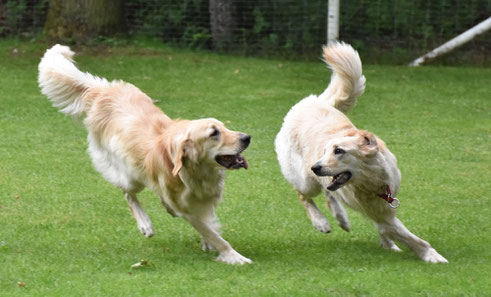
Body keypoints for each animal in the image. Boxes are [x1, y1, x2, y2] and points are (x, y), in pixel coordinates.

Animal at [38, 44, 252, 264]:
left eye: (224, 128)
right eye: (213, 133)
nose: (247, 138)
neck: (197, 172)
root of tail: (103, 91)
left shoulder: (203, 198)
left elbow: (209, 223)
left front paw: (209, 243)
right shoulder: (186, 209)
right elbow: (212, 233)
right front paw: (234, 256)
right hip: (130, 174)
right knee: (128, 194)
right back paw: (145, 224)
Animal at [276, 41, 450, 262]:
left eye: (339, 151)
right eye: (326, 151)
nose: (315, 166)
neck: (373, 181)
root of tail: (314, 101)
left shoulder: (383, 207)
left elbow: (386, 229)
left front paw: (388, 244)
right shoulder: (381, 213)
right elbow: (412, 238)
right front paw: (431, 256)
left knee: (329, 193)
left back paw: (342, 219)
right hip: (305, 180)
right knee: (303, 195)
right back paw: (320, 222)